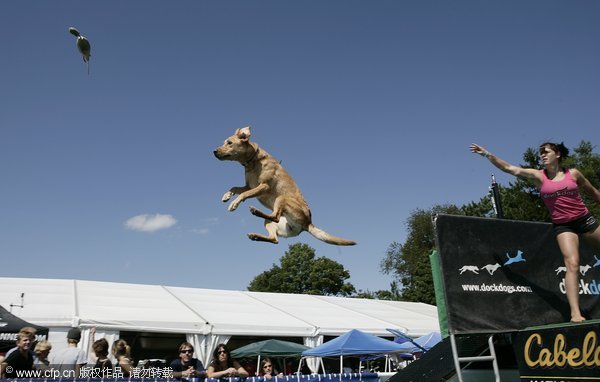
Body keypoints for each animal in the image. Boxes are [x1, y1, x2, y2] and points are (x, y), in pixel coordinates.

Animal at [213, 125, 356, 245]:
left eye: (229, 143)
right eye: (224, 142)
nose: (214, 151)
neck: (253, 161)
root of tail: (307, 224)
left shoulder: (263, 186)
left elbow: (244, 194)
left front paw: (234, 204)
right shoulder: (249, 186)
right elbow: (235, 188)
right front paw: (227, 196)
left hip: (282, 198)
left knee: (275, 217)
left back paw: (256, 212)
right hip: (272, 222)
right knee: (274, 238)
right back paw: (255, 235)